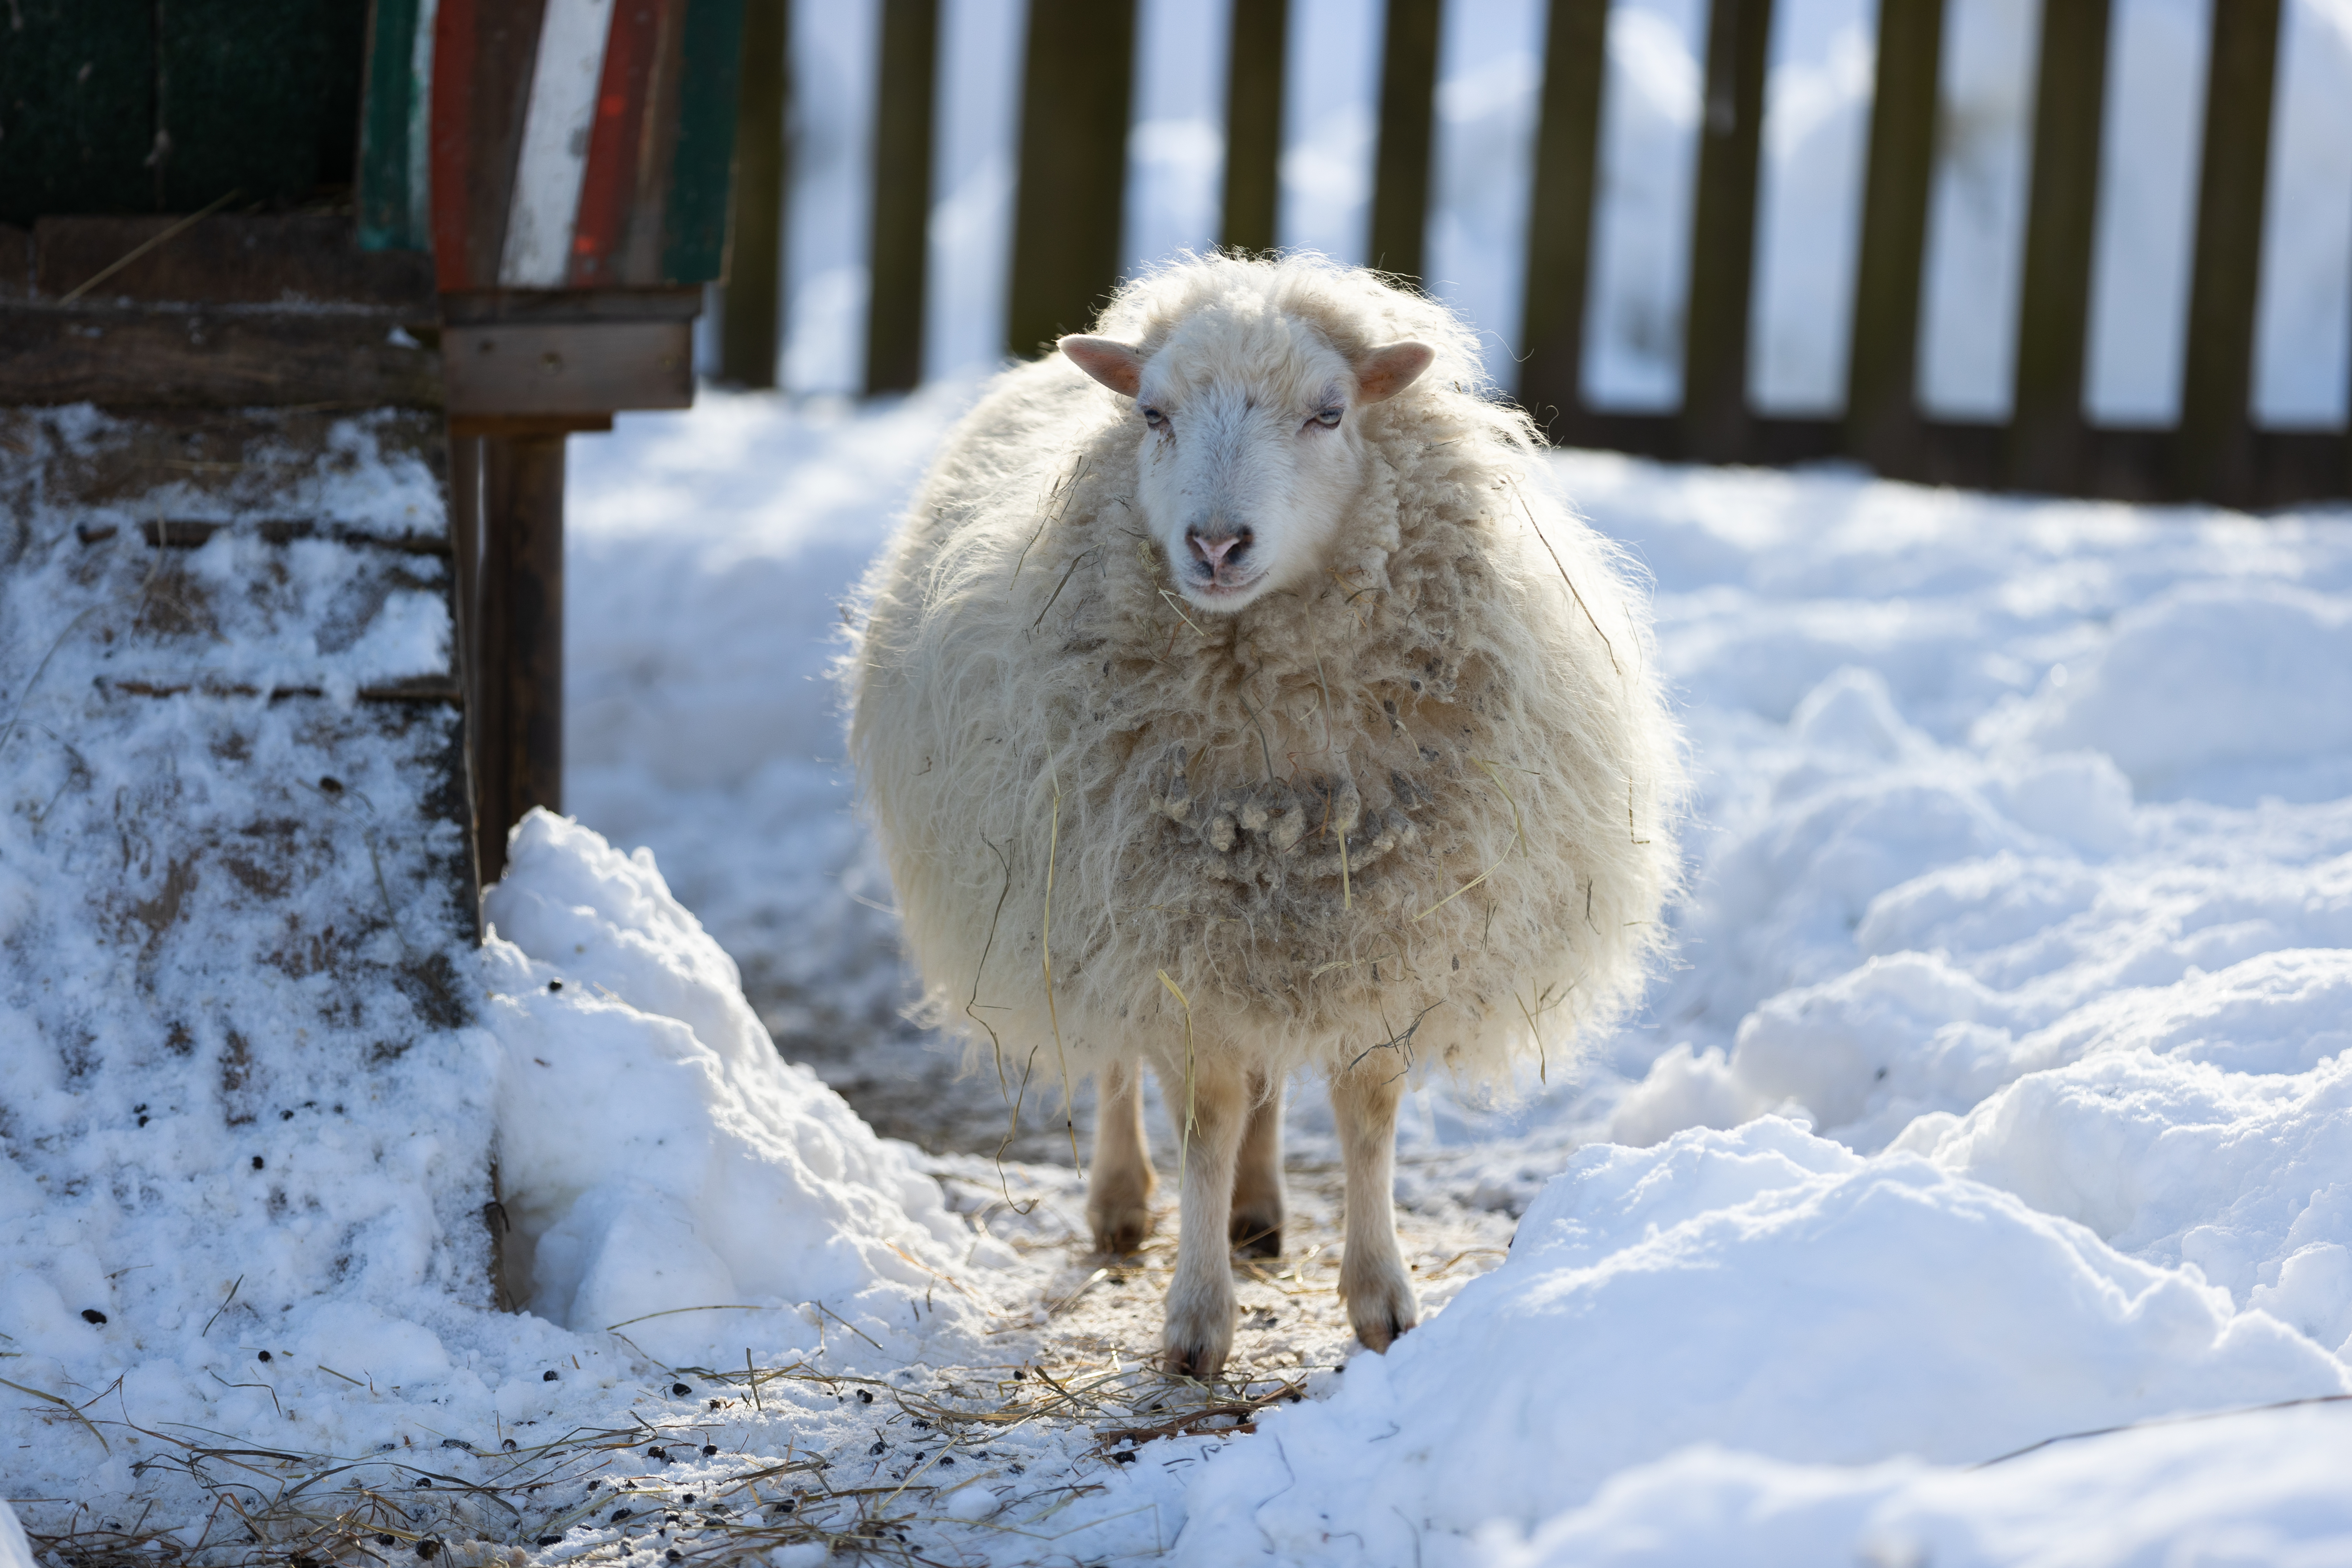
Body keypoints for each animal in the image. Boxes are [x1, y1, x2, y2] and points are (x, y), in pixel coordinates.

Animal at [848, 254, 1681, 1378]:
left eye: (1329, 413)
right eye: (1153, 414)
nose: (1213, 543)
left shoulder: (1380, 929)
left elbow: (1364, 1114)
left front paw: (1380, 1299)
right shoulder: (1162, 929)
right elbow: (1201, 1114)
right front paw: (1197, 1319)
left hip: (1270, 926)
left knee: (1266, 1080)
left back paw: (1258, 1206)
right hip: (1088, 895)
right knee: (1123, 1064)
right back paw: (1123, 1199)